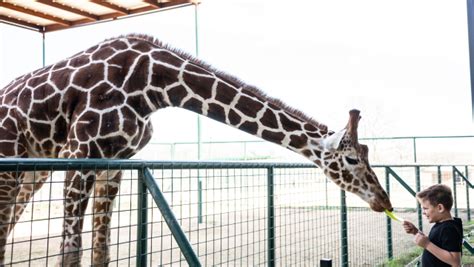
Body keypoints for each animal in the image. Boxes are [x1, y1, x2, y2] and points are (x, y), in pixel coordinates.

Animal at [0, 34, 392, 266]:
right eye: (352, 159)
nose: (383, 200)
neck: (152, 86)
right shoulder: (79, 154)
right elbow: (70, 252)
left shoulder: (114, 163)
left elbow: (101, 251)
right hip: (12, 158)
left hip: (33, 168)